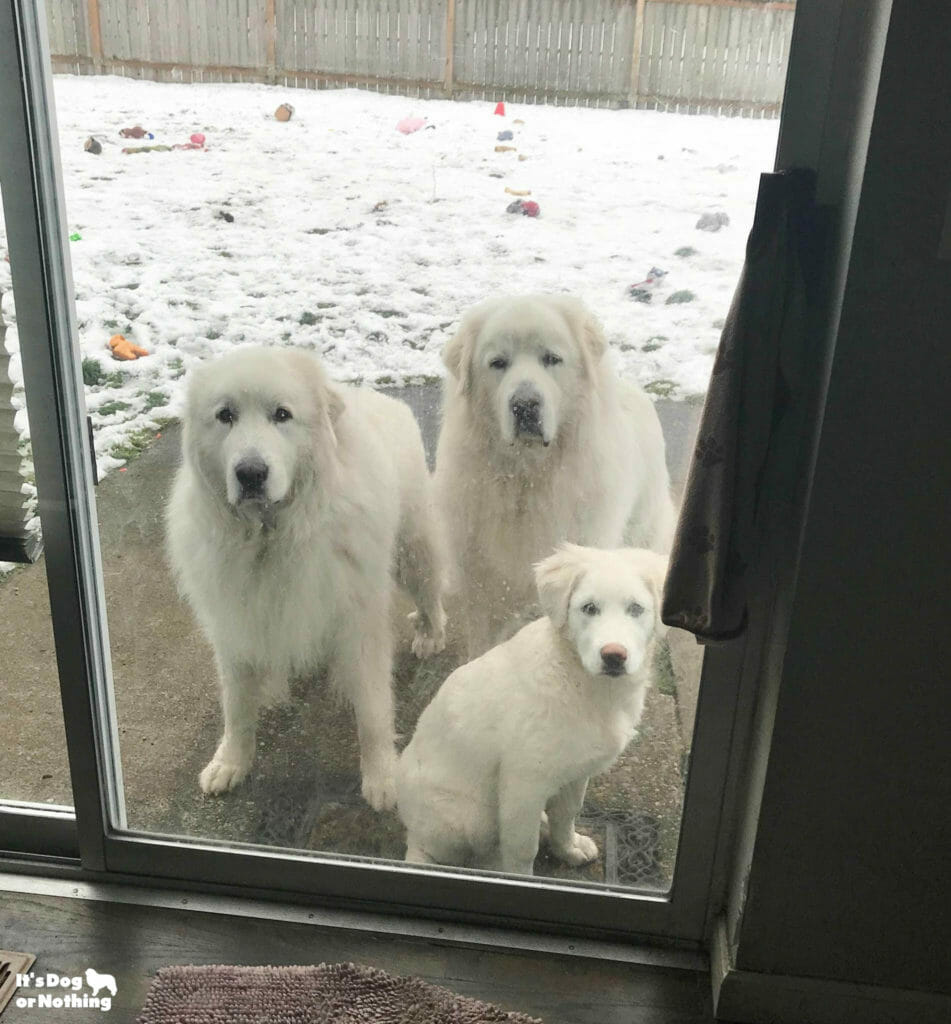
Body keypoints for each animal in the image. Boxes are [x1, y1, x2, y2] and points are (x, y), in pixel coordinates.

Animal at [165, 348, 446, 811]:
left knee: (431, 594)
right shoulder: (235, 626)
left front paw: (383, 777)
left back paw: (431, 634)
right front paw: (231, 763)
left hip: (414, 550)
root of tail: (378, 397)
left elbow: (372, 710)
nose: (250, 473)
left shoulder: (358, 622)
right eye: (225, 416)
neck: (271, 535)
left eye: (282, 415)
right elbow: (236, 708)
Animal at [397, 544, 663, 872]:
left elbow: (567, 815)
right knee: (436, 850)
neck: (584, 685)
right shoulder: (524, 784)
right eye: (589, 608)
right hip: (468, 817)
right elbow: (523, 849)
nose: (614, 656)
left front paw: (568, 848)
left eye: (636, 609)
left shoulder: (576, 771)